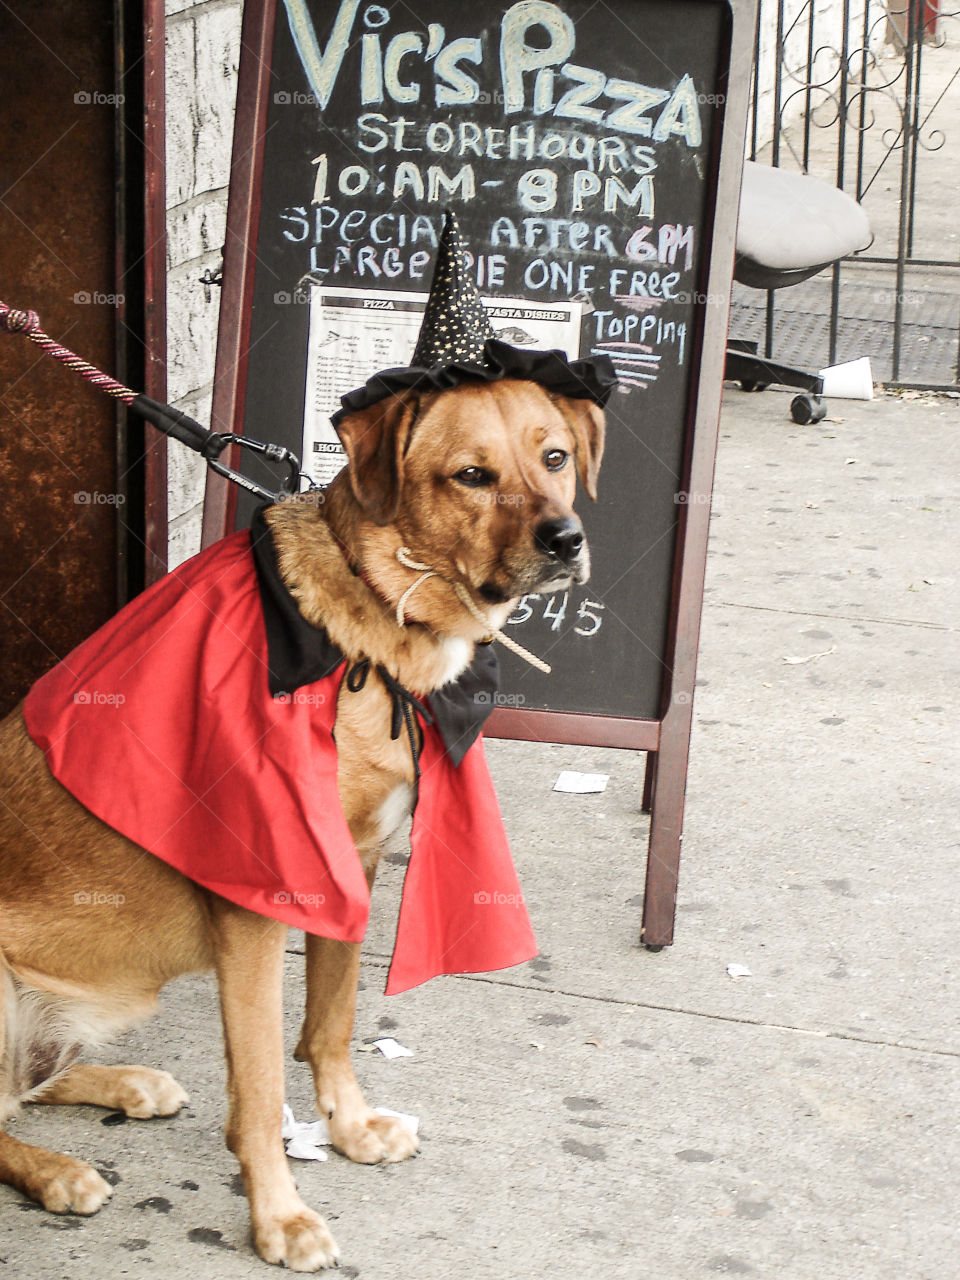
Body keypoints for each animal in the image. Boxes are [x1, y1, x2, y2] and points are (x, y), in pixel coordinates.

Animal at [0, 376, 604, 1269]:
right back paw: (57, 1172)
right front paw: (279, 1219)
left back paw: (126, 1084)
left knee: (26, 1087)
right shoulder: (256, 901)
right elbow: (258, 1089)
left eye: (555, 457)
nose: (566, 540)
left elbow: (331, 1025)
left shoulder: (355, 865)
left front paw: (348, 1129)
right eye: (471, 475)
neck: (383, 619)